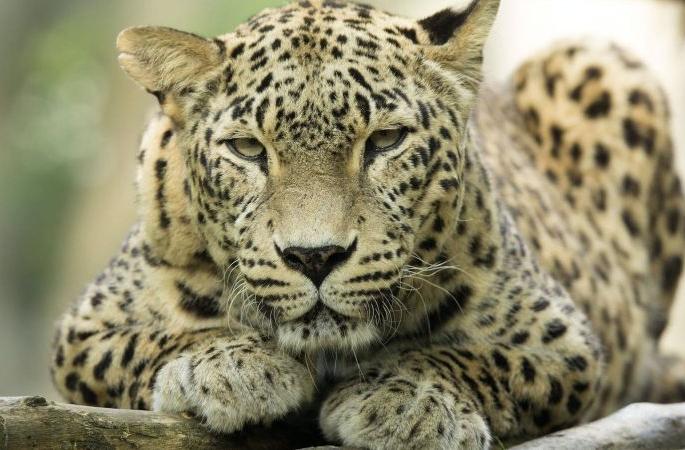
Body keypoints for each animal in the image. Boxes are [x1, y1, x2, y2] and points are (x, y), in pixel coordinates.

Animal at [50, 0, 685, 448]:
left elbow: (476, 356)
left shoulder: (564, 340)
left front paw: (407, 401)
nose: (314, 257)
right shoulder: (83, 328)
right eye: (248, 149)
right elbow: (150, 340)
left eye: (385, 141)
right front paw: (233, 366)